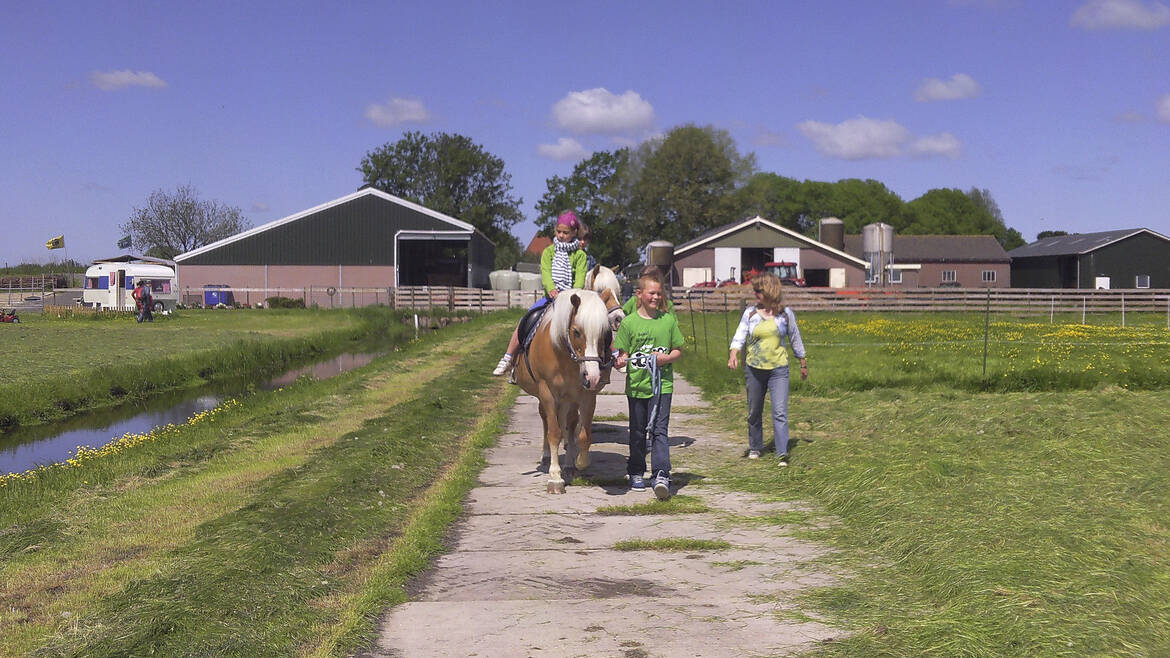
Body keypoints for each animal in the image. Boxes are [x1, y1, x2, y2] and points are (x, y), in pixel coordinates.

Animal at [517, 288, 617, 491]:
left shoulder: (586, 395)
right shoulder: (547, 393)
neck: (564, 356)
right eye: (576, 331)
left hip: (568, 400)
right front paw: (555, 477)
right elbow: (554, 433)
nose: (592, 376)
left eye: (605, 333)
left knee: (569, 423)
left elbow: (583, 434)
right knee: (547, 421)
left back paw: (569, 464)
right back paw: (547, 456)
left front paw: (580, 462)